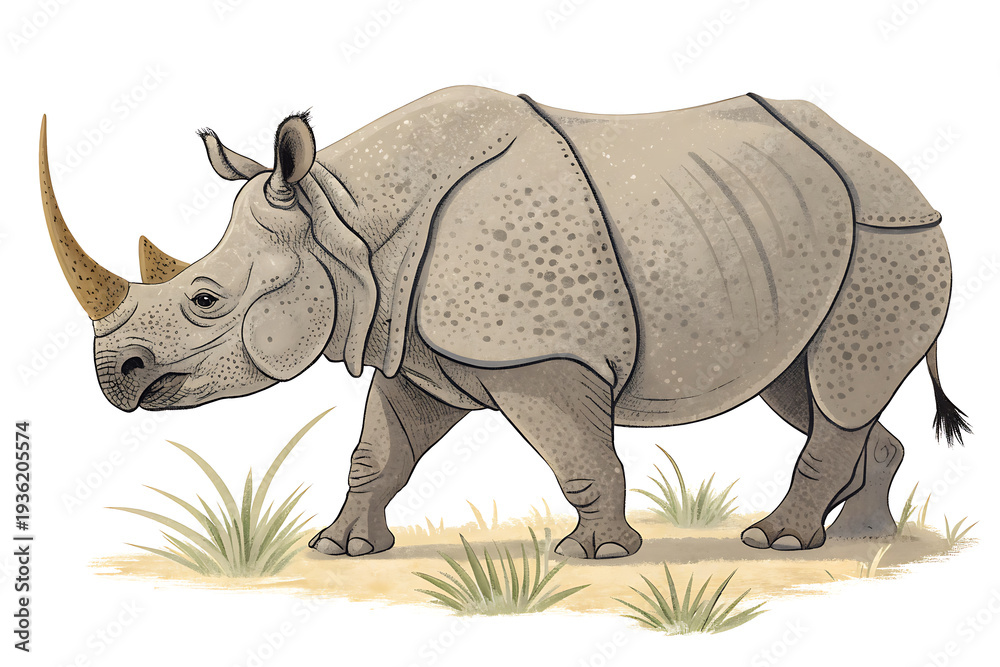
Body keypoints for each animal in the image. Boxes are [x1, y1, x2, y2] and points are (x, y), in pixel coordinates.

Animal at [40, 86, 970, 559]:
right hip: (812, 239)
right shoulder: (414, 351)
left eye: (204, 298)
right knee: (804, 387)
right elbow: (378, 450)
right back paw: (862, 535)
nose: (114, 375)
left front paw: (597, 554)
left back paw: (779, 542)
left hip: (888, 239)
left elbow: (580, 457)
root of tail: (905, 178)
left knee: (837, 389)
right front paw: (341, 547)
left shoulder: (541, 355)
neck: (347, 226)